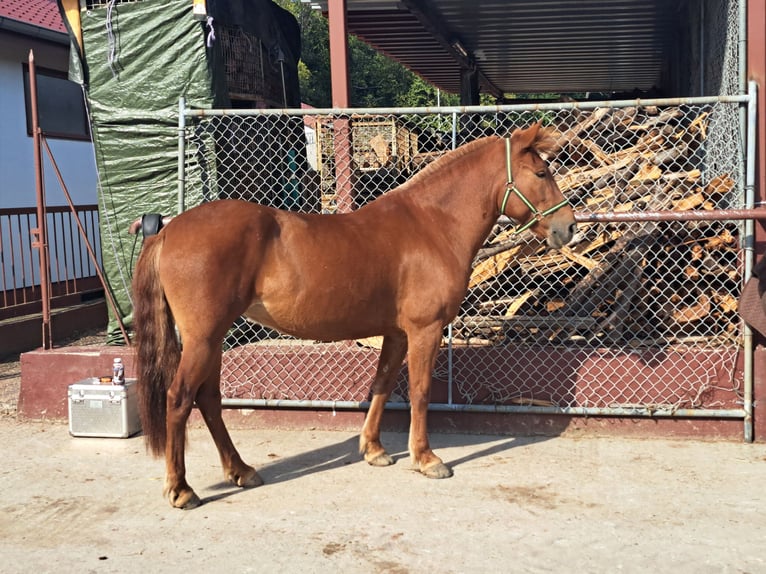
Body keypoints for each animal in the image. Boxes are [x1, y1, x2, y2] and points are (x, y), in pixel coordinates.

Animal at [132, 121, 576, 508]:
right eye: (541, 172)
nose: (568, 226)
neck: (432, 224)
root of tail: (169, 230)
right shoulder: (425, 330)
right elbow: (420, 392)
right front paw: (426, 458)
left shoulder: (396, 334)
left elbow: (382, 387)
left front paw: (374, 450)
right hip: (203, 339)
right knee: (179, 398)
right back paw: (182, 490)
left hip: (213, 339)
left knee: (207, 399)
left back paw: (241, 470)